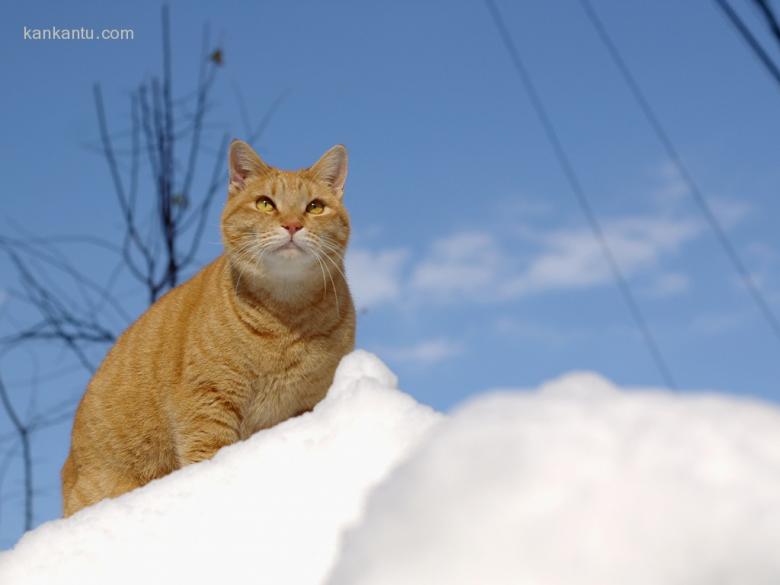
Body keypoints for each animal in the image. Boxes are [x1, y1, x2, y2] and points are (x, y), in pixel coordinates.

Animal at [62, 140, 354, 516]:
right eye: (265, 203)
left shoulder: (307, 404)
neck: (286, 316)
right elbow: (208, 457)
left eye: (315, 207)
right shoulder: (207, 405)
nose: (292, 225)